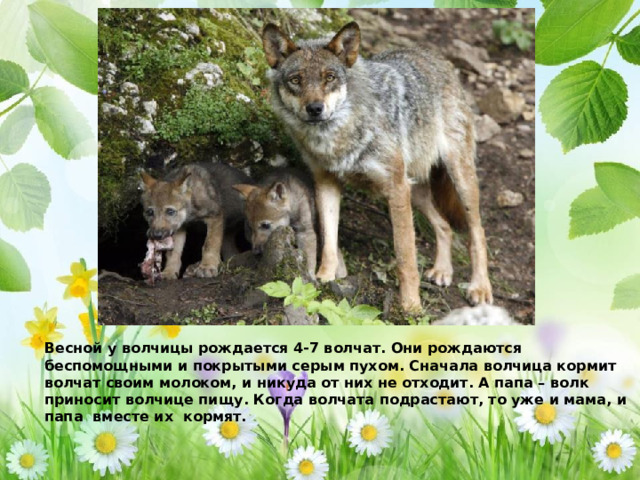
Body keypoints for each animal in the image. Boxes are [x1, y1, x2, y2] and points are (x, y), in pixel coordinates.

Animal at [262, 21, 493, 312]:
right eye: (296, 80)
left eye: (329, 77)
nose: (315, 108)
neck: (336, 138)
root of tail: (437, 57)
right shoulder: (326, 182)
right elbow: (329, 239)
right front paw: (323, 278)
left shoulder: (396, 189)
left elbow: (405, 257)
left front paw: (411, 306)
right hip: (415, 191)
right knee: (444, 226)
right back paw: (442, 271)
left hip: (457, 181)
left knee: (477, 232)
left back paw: (480, 287)